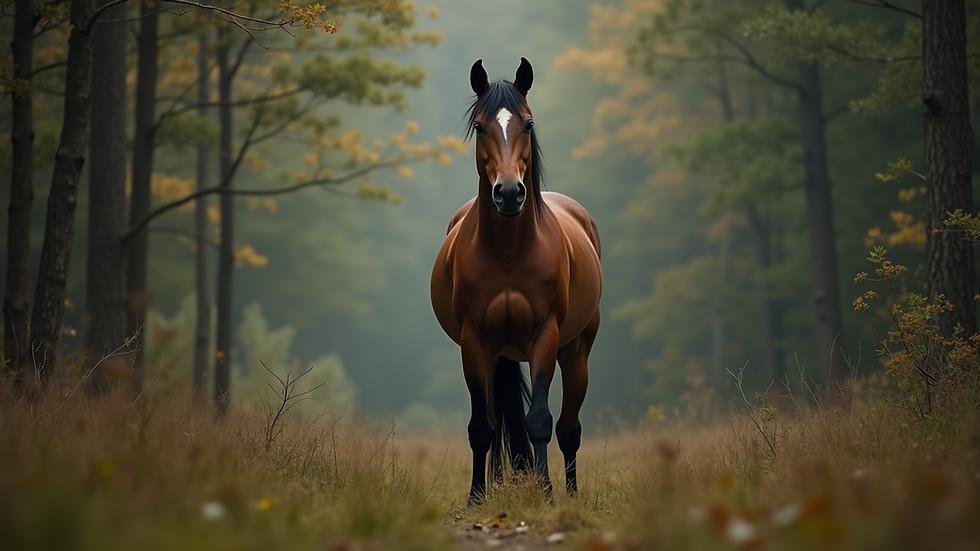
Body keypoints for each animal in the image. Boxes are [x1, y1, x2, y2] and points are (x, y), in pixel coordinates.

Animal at [429, 57, 602, 504]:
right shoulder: (475, 342)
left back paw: (570, 493)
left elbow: (538, 419)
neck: (509, 252)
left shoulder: (545, 336)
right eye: (479, 126)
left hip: (576, 353)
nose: (509, 193)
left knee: (569, 429)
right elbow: (481, 428)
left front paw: (546, 494)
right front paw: (475, 497)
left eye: (527, 124)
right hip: (498, 356)